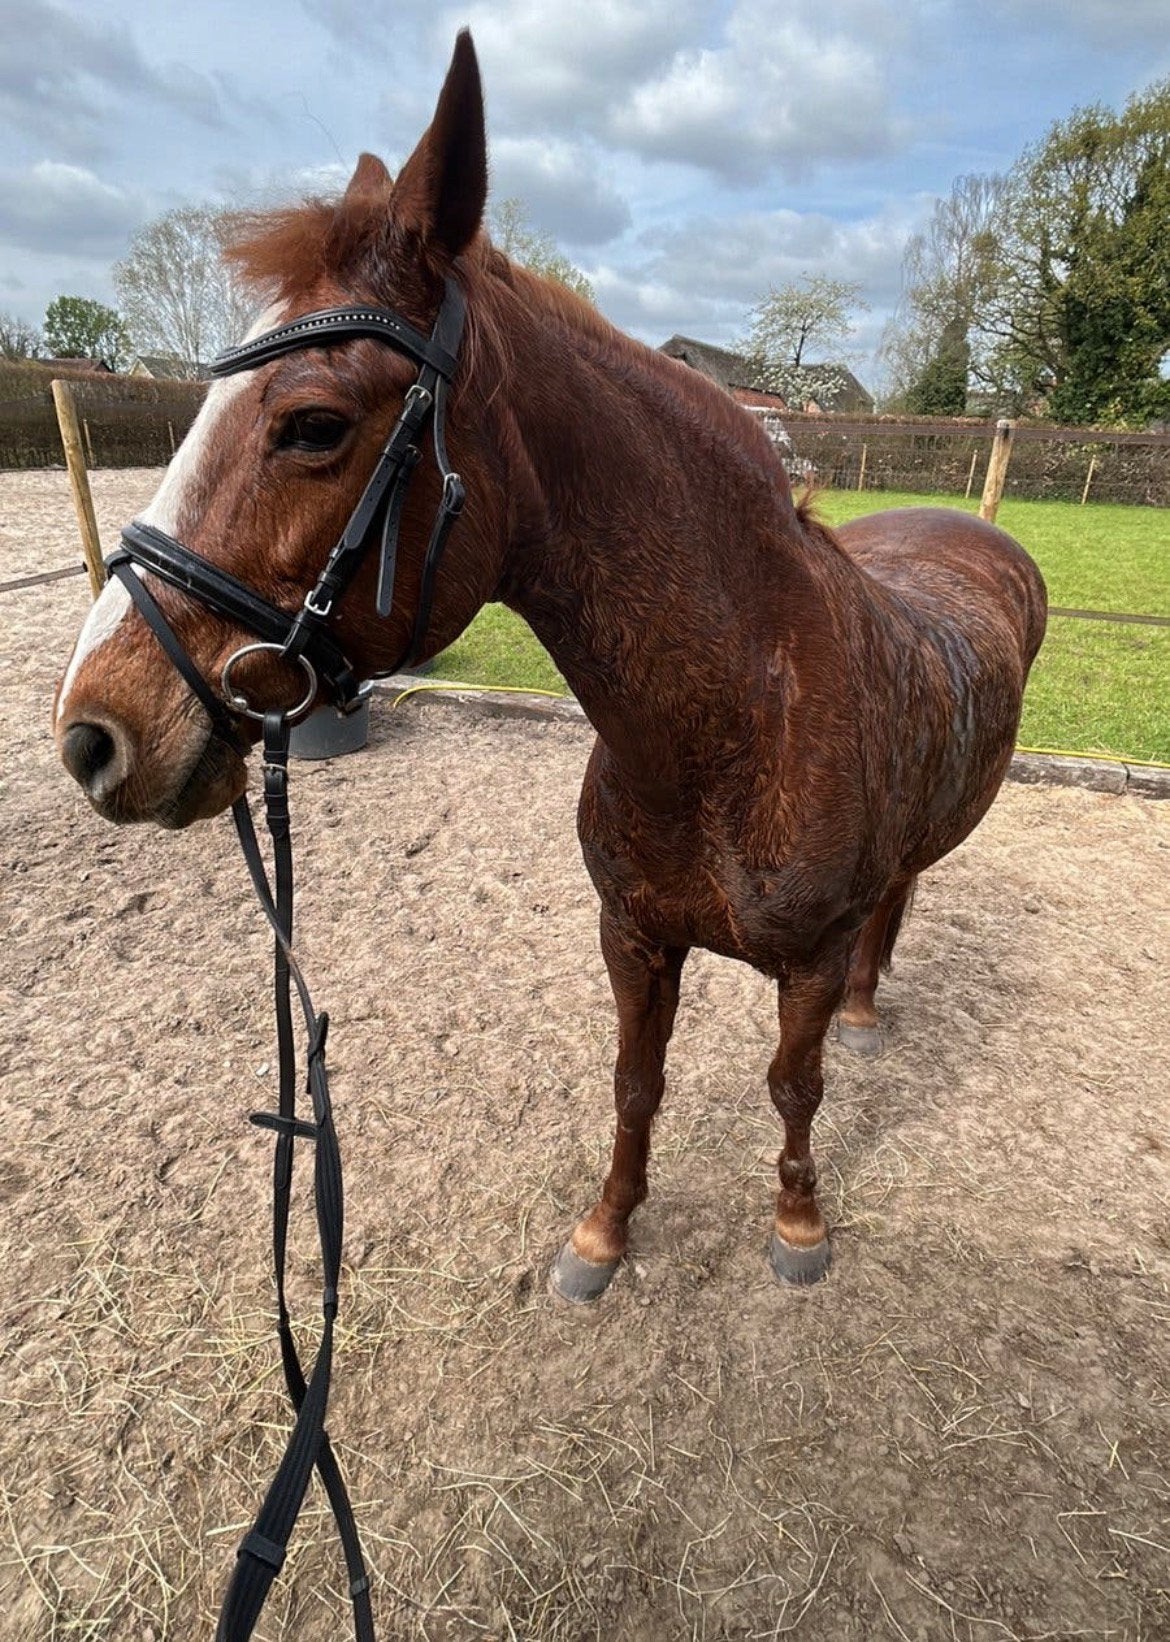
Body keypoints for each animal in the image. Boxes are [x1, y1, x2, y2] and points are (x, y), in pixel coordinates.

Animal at [54, 32, 1046, 1303]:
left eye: (314, 423)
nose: (93, 731)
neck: (733, 731)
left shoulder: (809, 963)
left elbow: (794, 1085)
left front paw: (797, 1223)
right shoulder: (632, 938)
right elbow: (635, 1085)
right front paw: (605, 1233)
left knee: (899, 900)